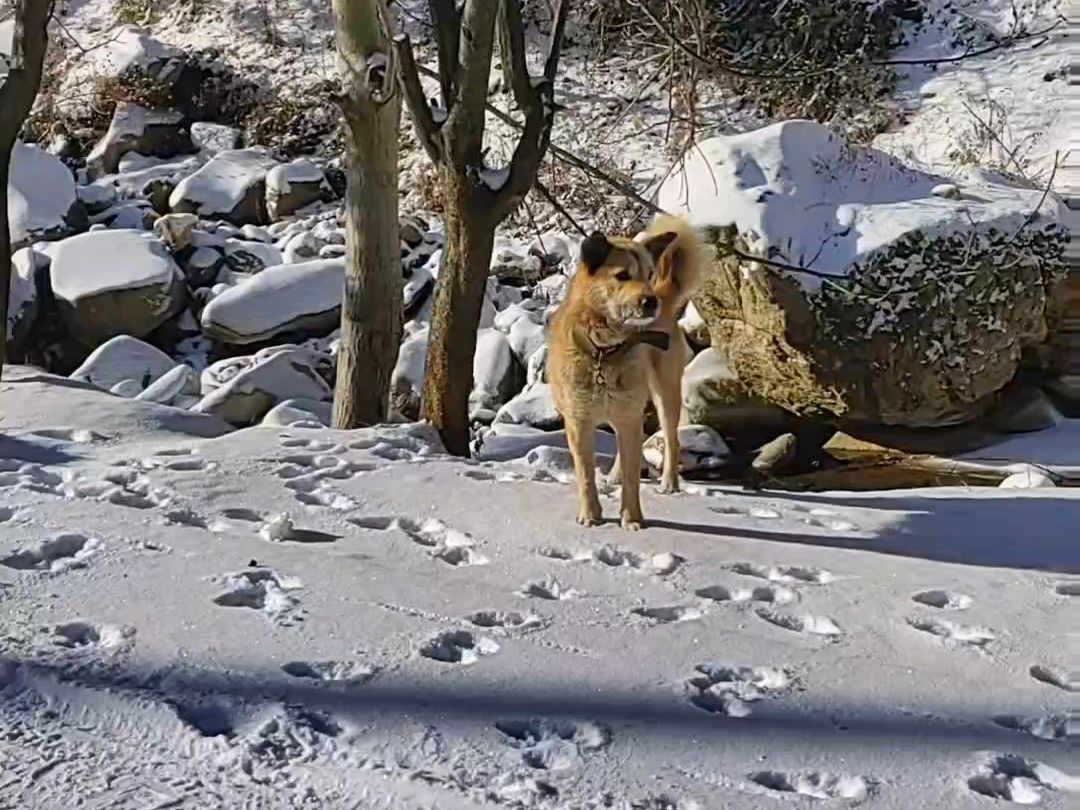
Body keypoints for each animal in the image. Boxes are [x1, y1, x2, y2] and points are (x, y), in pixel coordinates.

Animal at [552, 217, 704, 533]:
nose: (651, 302)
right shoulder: (579, 422)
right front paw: (590, 515)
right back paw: (613, 477)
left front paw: (632, 519)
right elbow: (585, 475)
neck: (604, 351)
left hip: (663, 393)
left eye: (648, 274)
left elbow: (634, 477)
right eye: (622, 275)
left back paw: (668, 483)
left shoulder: (628, 415)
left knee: (670, 438)